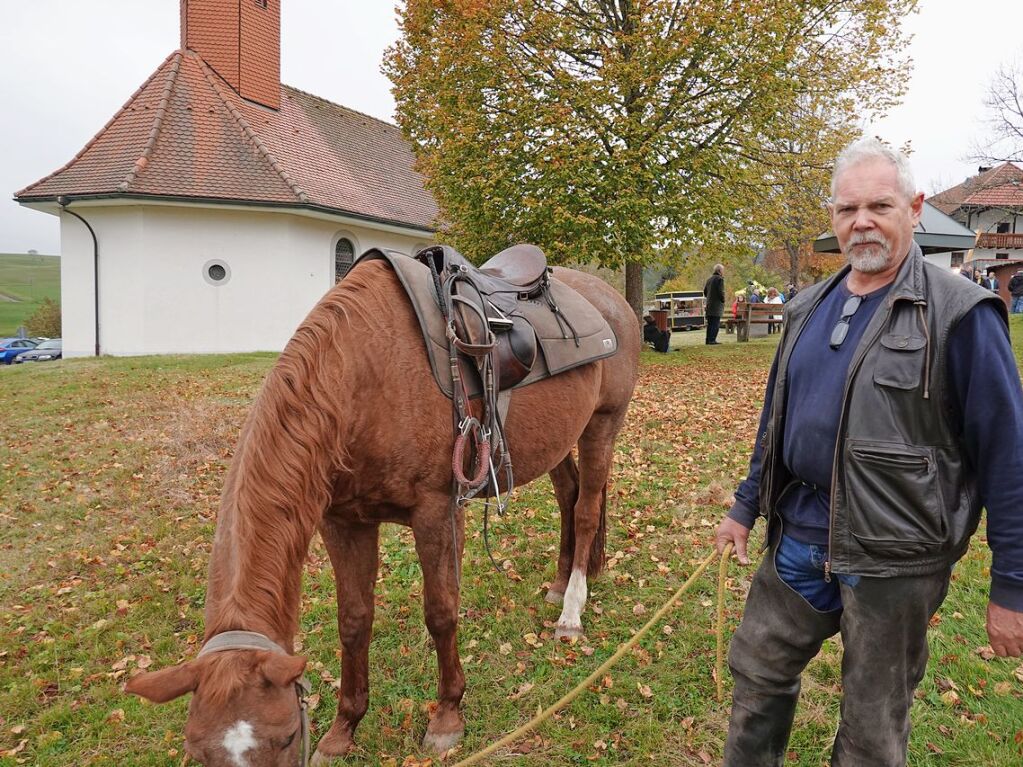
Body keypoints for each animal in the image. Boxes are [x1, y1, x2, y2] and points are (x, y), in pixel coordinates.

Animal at [125, 259, 638, 767]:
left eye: (287, 737)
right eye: (196, 752)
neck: (361, 379)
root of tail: (612, 301)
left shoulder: (436, 513)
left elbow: (441, 612)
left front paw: (447, 717)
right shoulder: (343, 522)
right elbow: (353, 621)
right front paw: (343, 730)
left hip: (602, 424)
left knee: (587, 509)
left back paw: (571, 612)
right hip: (558, 441)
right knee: (569, 498)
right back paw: (558, 585)